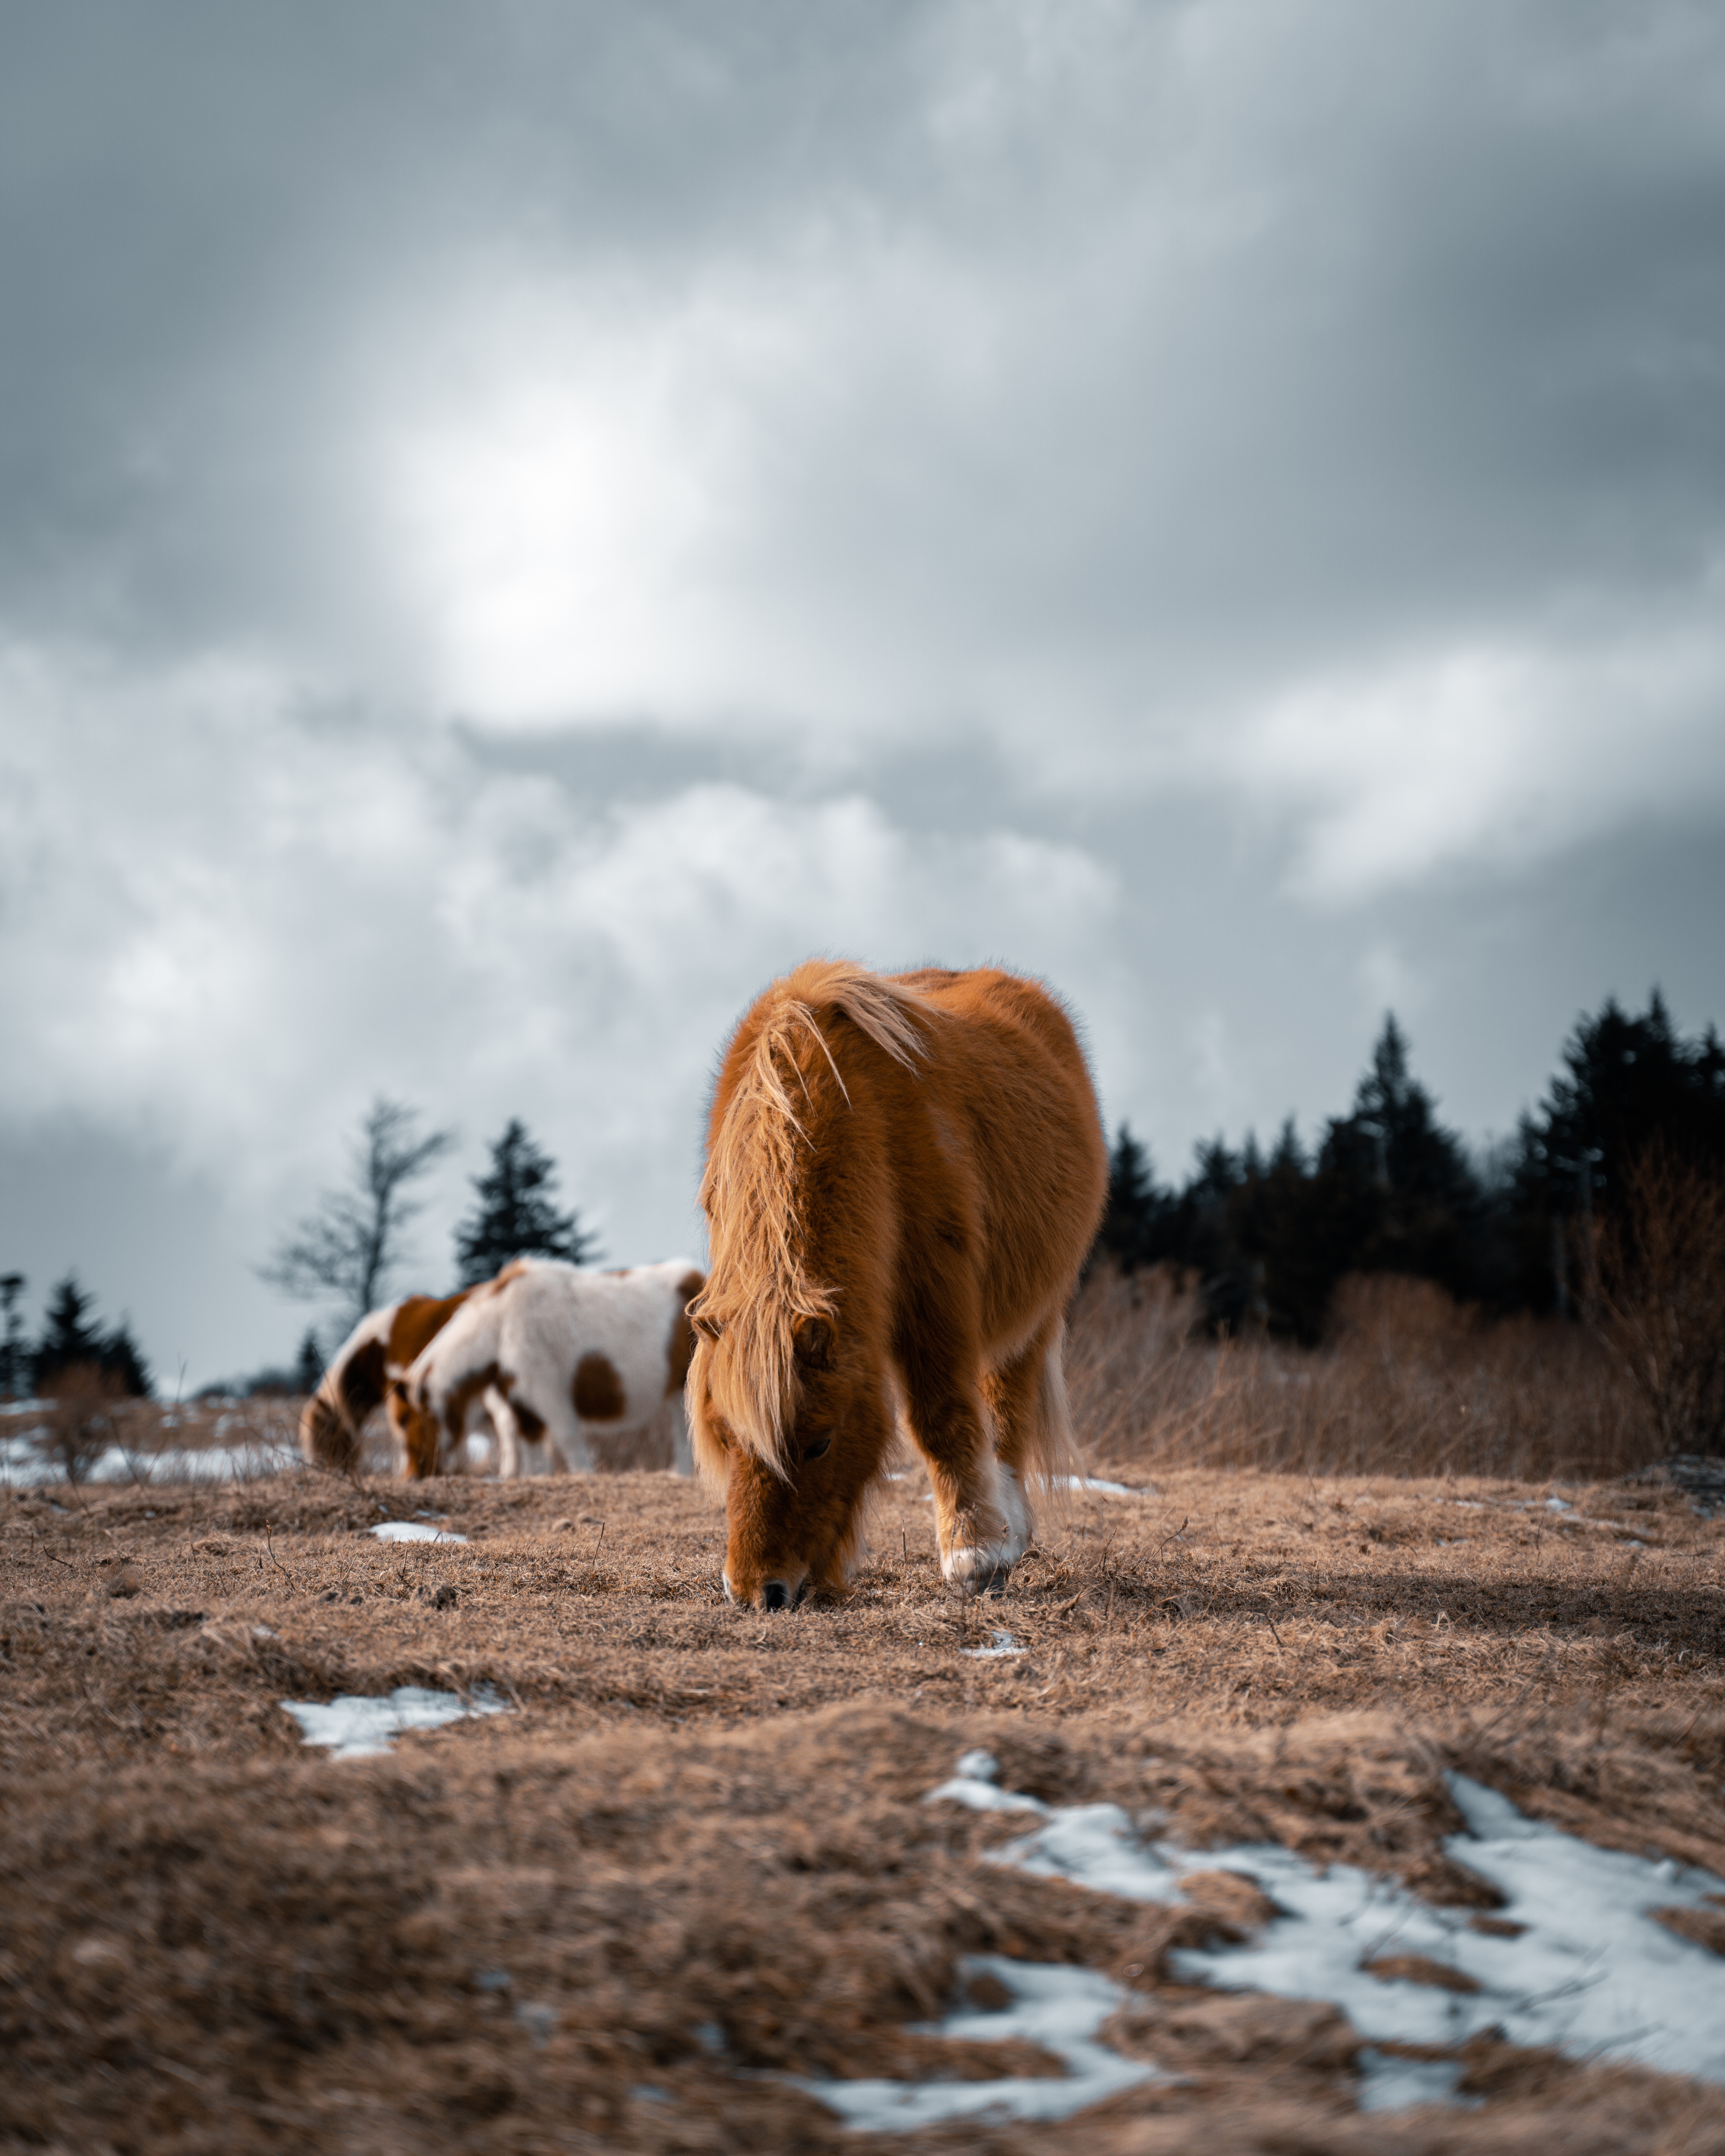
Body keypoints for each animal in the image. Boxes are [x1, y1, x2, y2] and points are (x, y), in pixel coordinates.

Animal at [390, 1259, 707, 1475]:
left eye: (406, 1420)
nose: (414, 1474)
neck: (501, 1326)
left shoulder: (549, 1396)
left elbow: (569, 1442)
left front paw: (583, 1476)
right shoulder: (520, 1404)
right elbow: (531, 1450)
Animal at [686, 957, 1104, 1604]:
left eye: (819, 1442)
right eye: (725, 1439)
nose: (759, 1593)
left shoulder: (934, 1291)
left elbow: (940, 1417)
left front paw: (974, 1555)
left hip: (1031, 1316)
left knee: (1006, 1410)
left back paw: (1008, 1532)